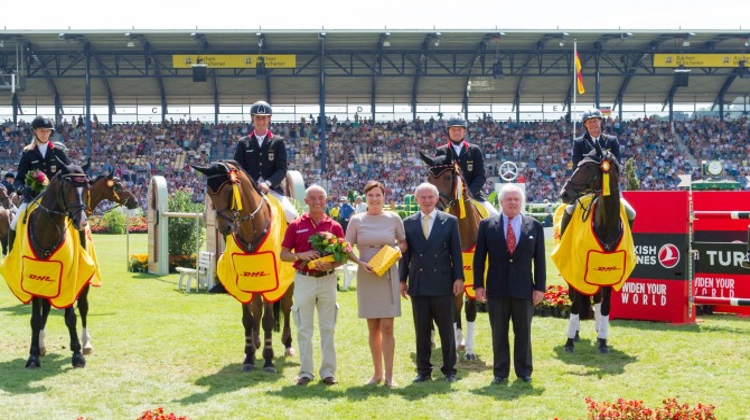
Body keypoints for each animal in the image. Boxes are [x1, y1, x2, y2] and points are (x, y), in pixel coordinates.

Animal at [0, 161, 92, 368]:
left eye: (86, 187)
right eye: (68, 187)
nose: (82, 221)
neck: (48, 231)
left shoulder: (68, 278)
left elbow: (71, 317)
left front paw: (77, 355)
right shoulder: (32, 279)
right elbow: (36, 318)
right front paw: (33, 355)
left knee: (83, 306)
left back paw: (86, 344)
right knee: (46, 309)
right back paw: (41, 346)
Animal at [192, 159, 296, 372]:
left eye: (229, 191)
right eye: (209, 193)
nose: (225, 228)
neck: (251, 230)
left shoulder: (272, 281)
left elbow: (268, 320)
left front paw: (268, 360)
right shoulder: (243, 282)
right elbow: (248, 319)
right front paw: (249, 357)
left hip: (288, 281)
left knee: (287, 307)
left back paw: (288, 346)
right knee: (257, 308)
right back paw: (255, 343)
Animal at [420, 151, 484, 360]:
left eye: (448, 177)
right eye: (429, 179)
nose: (434, 208)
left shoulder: (472, 279)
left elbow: (469, 312)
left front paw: (468, 350)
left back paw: (460, 341)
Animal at [556, 144, 636, 354]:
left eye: (589, 168)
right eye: (578, 164)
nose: (564, 193)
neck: (606, 225)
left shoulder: (611, 273)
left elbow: (606, 306)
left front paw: (603, 342)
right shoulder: (577, 269)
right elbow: (575, 305)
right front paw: (569, 342)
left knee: (598, 299)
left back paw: (599, 329)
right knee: (574, 297)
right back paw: (575, 334)